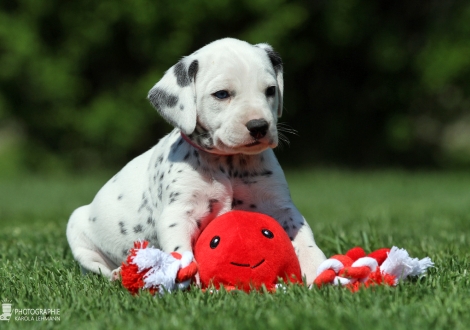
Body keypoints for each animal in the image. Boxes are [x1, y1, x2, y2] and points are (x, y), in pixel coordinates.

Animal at [66, 36, 324, 284]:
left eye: (270, 90)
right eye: (221, 94)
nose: (259, 126)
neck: (229, 164)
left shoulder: (281, 208)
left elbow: (306, 241)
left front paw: (318, 270)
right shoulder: (179, 214)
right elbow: (182, 252)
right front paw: (191, 286)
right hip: (76, 228)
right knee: (97, 269)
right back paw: (119, 274)